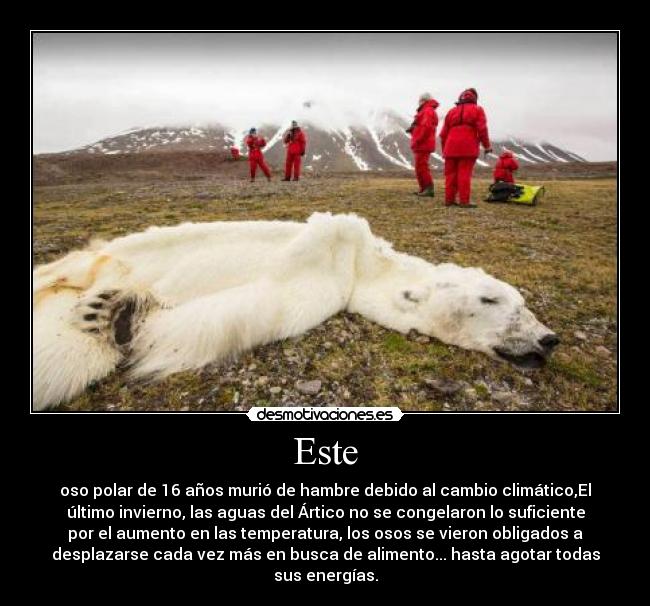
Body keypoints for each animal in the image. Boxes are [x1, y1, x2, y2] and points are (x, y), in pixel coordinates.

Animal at [32, 212, 559, 410]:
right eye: (491, 299)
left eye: (522, 302)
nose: (548, 338)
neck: (361, 264)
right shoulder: (328, 256)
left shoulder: (320, 289)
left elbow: (235, 312)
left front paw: (124, 316)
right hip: (97, 258)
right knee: (69, 271)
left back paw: (103, 311)